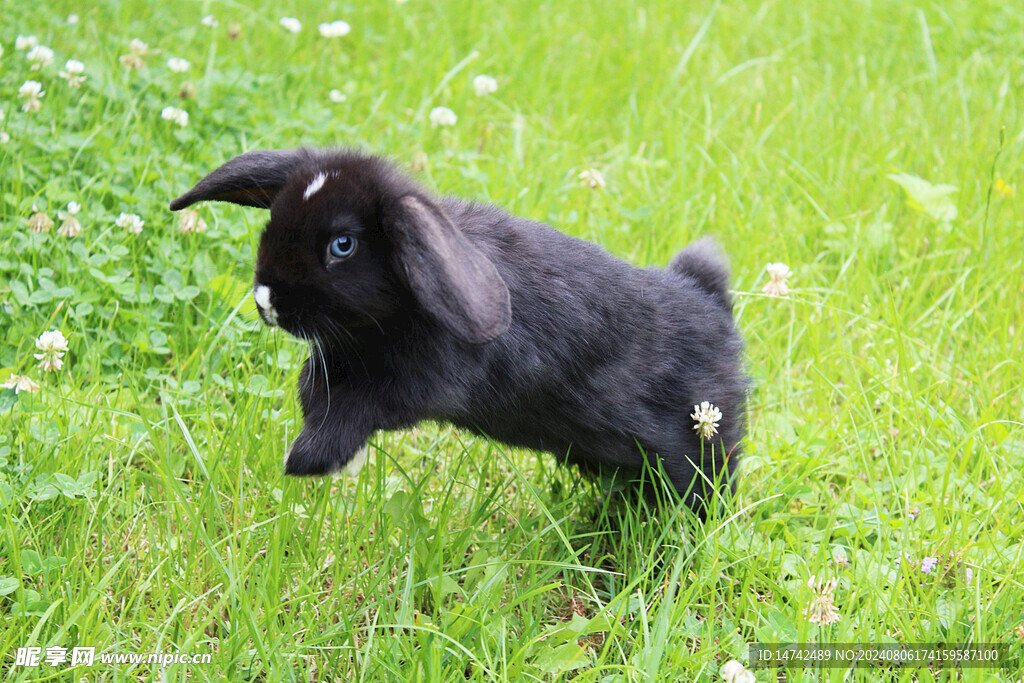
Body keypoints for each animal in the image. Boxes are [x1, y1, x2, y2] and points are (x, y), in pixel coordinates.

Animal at [167, 149, 745, 511]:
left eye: (342, 245)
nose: (267, 301)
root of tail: (712, 305)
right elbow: (320, 389)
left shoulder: (415, 384)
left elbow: (354, 410)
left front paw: (306, 461)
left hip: (697, 443)